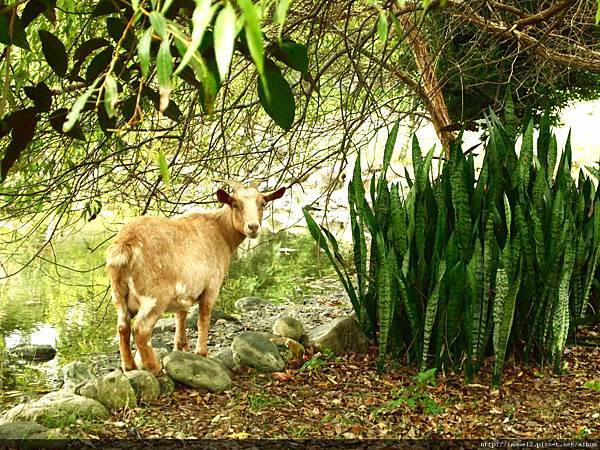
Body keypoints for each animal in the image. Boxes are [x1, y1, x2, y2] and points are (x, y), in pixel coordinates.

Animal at [105, 181, 286, 374]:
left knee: (123, 326)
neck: (221, 232)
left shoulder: (184, 293)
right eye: (235, 204)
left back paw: (129, 367)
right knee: (141, 328)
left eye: (263, 203)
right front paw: (202, 353)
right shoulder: (212, 285)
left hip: (118, 293)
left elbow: (181, 317)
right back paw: (154, 368)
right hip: (154, 296)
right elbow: (203, 320)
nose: (253, 227)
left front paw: (180, 348)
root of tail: (125, 244)